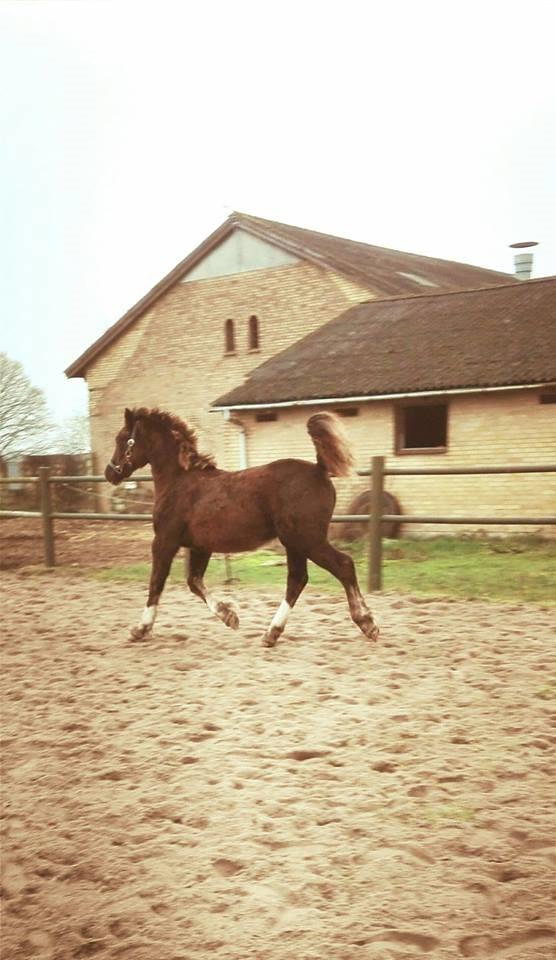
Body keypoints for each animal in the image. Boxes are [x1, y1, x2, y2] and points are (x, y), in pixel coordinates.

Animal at [105, 408, 378, 648]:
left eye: (122, 439)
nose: (110, 473)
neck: (179, 482)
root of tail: (319, 469)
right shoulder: (200, 546)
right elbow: (194, 582)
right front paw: (230, 617)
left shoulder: (164, 542)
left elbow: (156, 583)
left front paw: (140, 629)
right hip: (294, 543)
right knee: (297, 580)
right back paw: (271, 634)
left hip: (307, 540)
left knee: (342, 566)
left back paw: (367, 623)